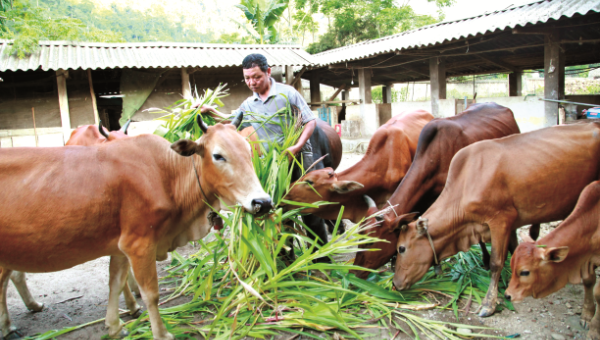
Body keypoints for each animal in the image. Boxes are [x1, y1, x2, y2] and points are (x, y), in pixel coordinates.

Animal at [0, 114, 272, 340]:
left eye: (248, 150)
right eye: (218, 155)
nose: (263, 202)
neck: (166, 175)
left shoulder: (120, 246)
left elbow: (115, 283)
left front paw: (115, 326)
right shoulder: (139, 244)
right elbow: (151, 293)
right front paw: (161, 334)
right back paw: (8, 325)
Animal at [392, 123, 600, 318]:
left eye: (401, 248)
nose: (394, 283)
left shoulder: (501, 220)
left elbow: (496, 262)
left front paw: (489, 303)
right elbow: (513, 250)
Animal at [506, 179, 600, 338]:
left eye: (525, 272)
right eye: (511, 267)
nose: (507, 295)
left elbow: (598, 292)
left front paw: (594, 331)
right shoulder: (587, 259)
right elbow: (588, 280)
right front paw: (587, 315)